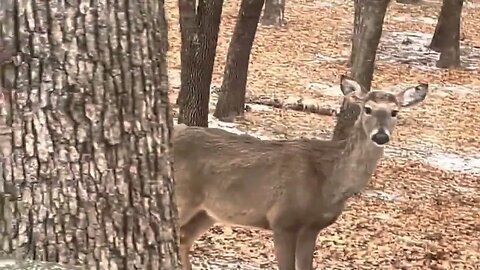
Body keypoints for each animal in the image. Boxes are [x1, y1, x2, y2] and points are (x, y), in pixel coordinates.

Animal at [172, 75, 428, 270]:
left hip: (209, 212)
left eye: (395, 112)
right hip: (183, 198)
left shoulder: (312, 227)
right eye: (368, 109)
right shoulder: (283, 219)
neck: (329, 183)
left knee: (184, 240)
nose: (381, 136)